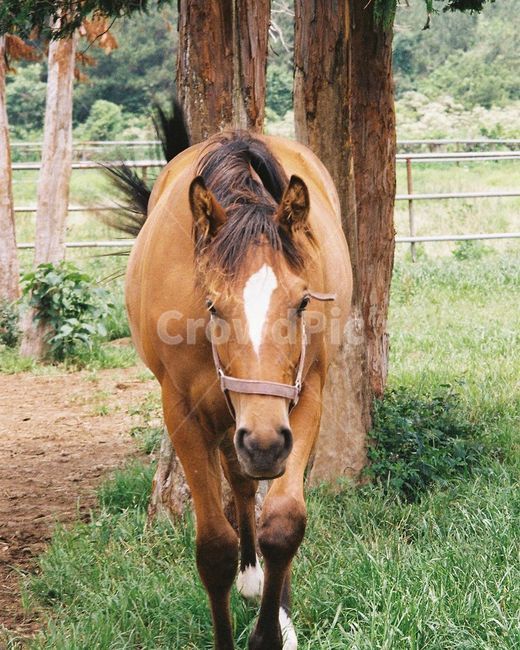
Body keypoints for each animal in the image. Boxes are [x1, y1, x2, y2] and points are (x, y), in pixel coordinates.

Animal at [123, 126, 352, 649]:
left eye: (303, 302)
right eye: (211, 305)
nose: (265, 443)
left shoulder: (303, 398)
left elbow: (283, 523)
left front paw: (272, 629)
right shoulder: (183, 411)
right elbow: (214, 548)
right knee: (242, 483)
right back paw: (250, 579)